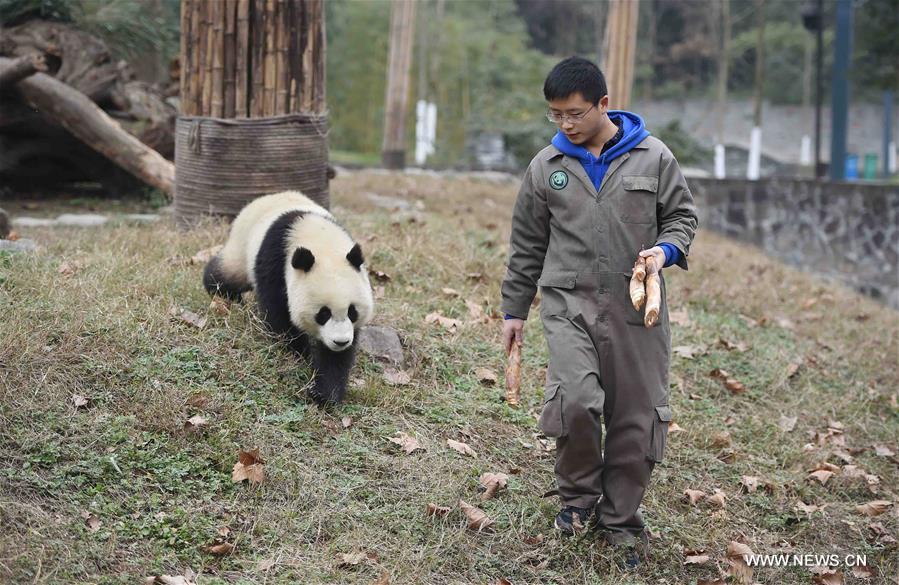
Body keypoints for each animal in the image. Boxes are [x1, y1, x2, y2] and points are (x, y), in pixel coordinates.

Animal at [202, 189, 374, 404]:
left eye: (352, 312)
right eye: (323, 313)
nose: (340, 342)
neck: (320, 239)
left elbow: (337, 358)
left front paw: (325, 393)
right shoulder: (276, 259)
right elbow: (278, 313)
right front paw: (300, 352)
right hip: (243, 245)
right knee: (228, 274)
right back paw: (222, 290)